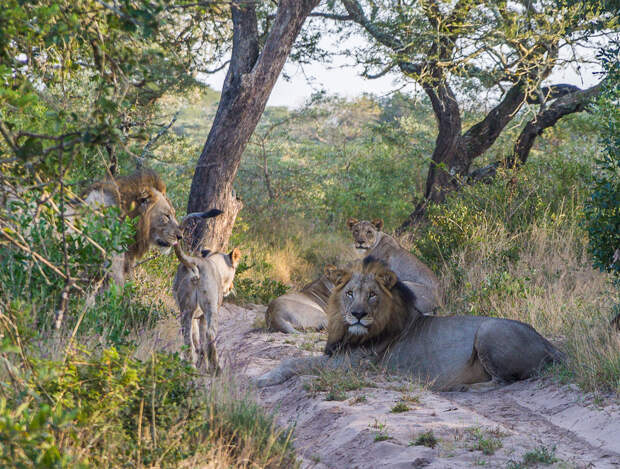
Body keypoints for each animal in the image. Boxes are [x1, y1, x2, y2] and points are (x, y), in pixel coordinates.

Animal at [174, 243, 245, 372]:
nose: (231, 287)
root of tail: (196, 262)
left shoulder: (196, 316)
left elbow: (197, 341)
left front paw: (200, 364)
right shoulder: (204, 315)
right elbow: (203, 340)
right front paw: (205, 365)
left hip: (186, 309)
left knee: (187, 338)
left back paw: (191, 367)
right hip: (211, 307)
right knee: (210, 334)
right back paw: (216, 368)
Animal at [254, 258, 564, 390]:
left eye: (373, 295)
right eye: (350, 293)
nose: (357, 314)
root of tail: (548, 343)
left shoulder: (348, 365)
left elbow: (295, 362)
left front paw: (264, 378)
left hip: (489, 330)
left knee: (503, 382)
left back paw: (461, 388)